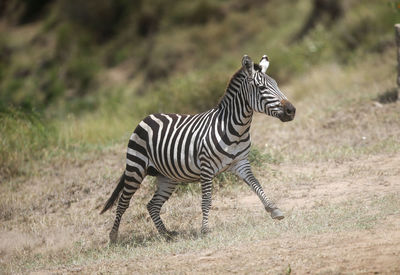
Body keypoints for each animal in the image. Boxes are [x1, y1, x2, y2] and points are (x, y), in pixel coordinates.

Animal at [100, 54, 294, 244]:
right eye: (261, 88)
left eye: (277, 85)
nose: (291, 110)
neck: (236, 129)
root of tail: (147, 117)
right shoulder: (206, 168)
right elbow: (206, 200)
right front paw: (205, 230)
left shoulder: (241, 162)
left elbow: (256, 184)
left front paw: (274, 210)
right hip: (136, 168)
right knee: (123, 202)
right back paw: (113, 237)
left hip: (167, 176)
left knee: (152, 205)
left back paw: (167, 235)